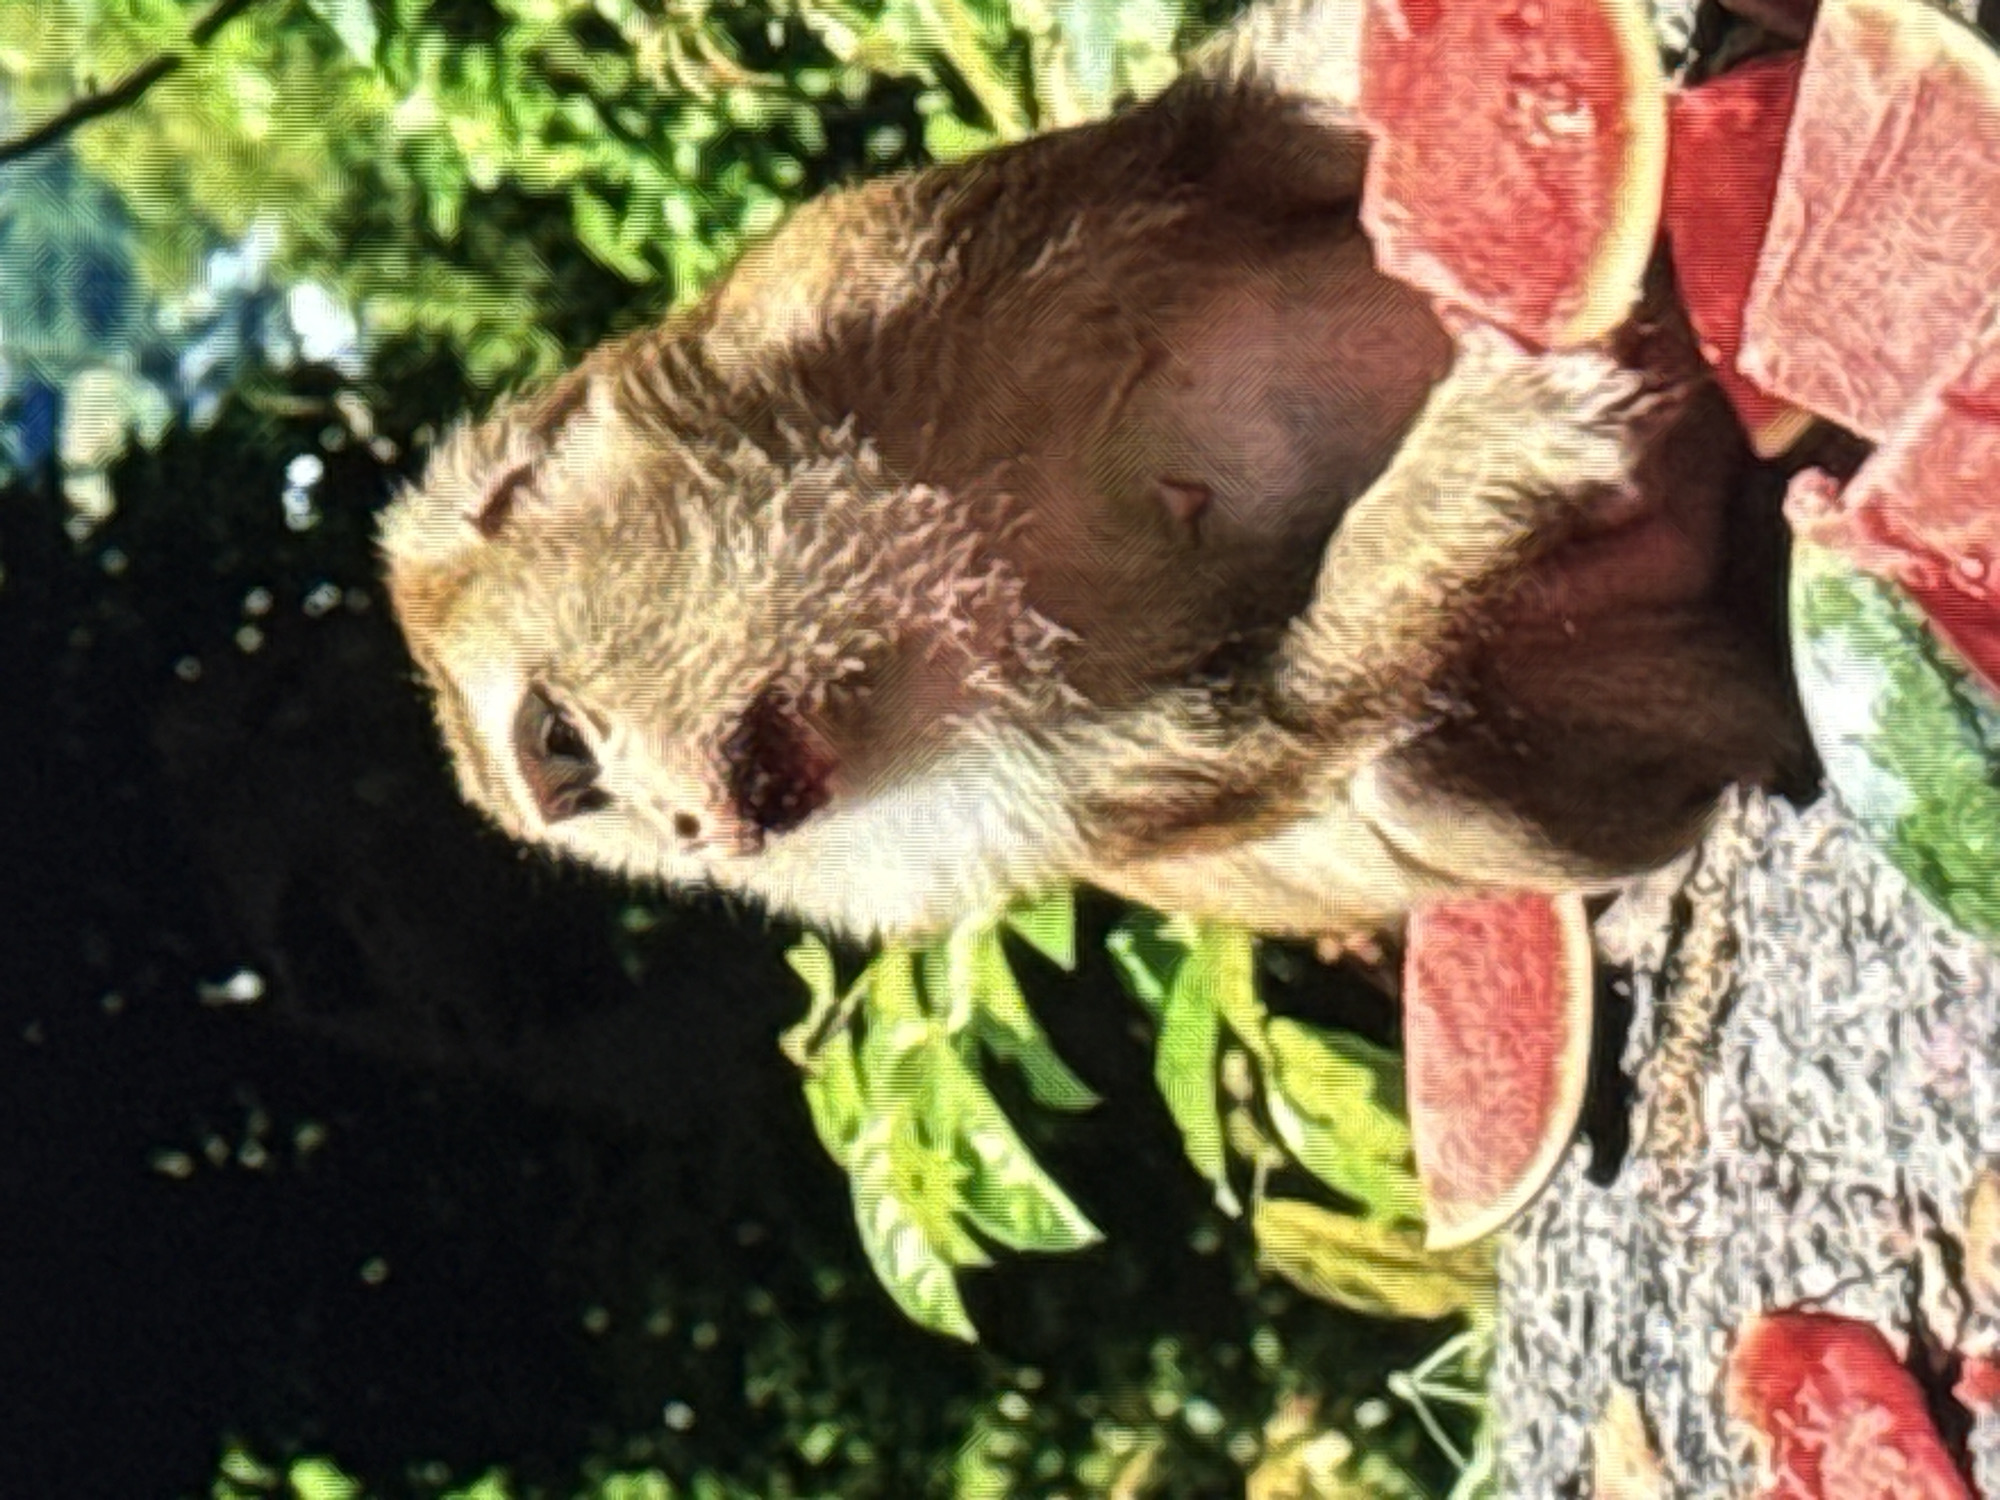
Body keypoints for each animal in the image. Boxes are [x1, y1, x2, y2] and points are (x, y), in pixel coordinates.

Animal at [377, 0, 1808, 947]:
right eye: (585, 797)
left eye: (560, 746)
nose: (674, 830)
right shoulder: (962, 828)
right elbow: (1257, 732)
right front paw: (1485, 459)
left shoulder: (877, 278)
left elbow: (1234, 126)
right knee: (1410, 770)